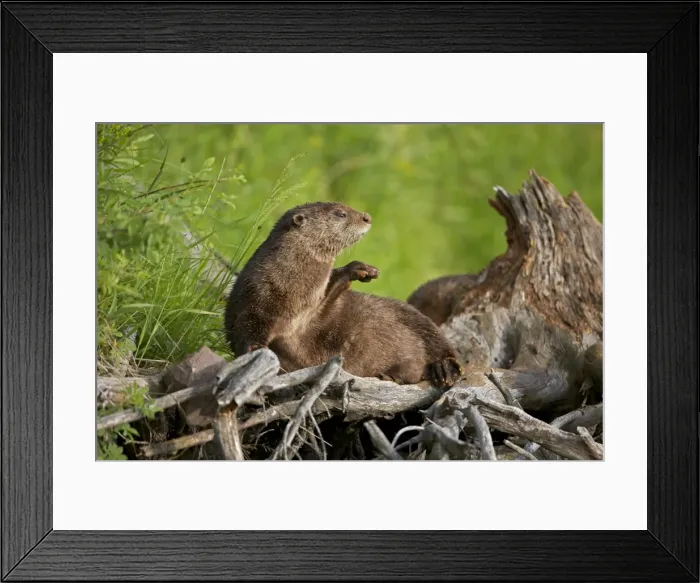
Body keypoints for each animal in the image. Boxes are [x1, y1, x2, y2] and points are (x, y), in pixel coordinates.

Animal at [224, 201, 463, 388]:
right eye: (340, 213)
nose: (367, 217)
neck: (291, 290)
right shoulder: (254, 300)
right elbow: (247, 332)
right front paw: (257, 351)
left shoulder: (315, 307)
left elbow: (333, 292)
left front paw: (361, 269)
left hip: (415, 318)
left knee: (441, 345)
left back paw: (442, 368)